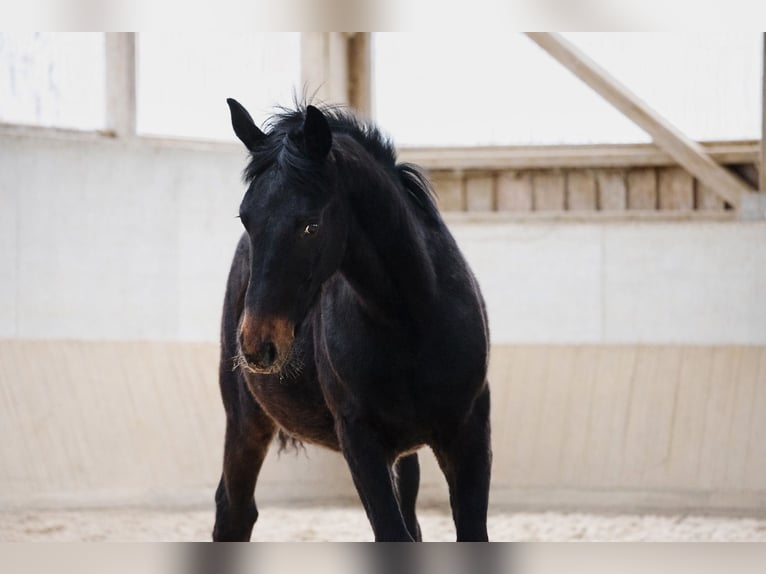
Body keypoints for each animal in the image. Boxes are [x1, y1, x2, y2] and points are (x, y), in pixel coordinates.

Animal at [212, 99, 492, 542]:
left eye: (311, 224)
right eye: (246, 218)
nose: (258, 344)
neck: (410, 323)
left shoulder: (469, 431)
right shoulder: (360, 441)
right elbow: (392, 532)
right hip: (245, 420)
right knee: (235, 512)